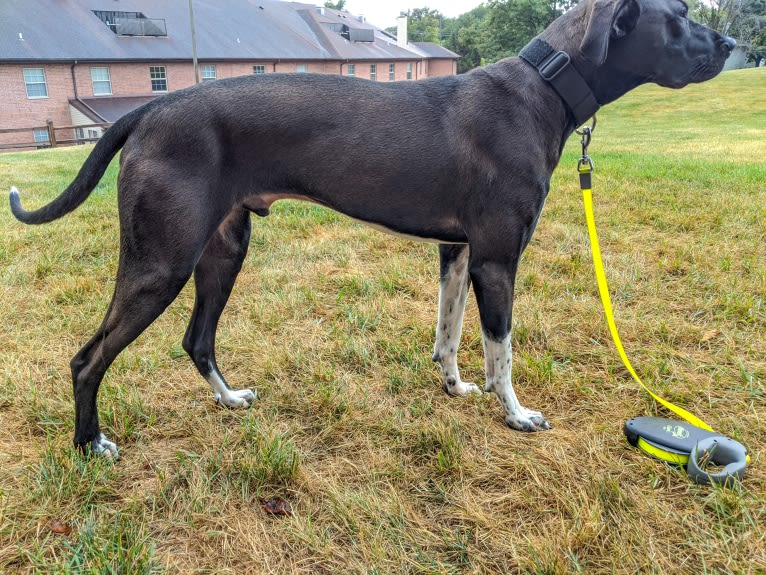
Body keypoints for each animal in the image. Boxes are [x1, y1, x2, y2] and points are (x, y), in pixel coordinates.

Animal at [9, 0, 736, 460]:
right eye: (679, 17)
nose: (732, 43)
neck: (544, 88)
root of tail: (152, 108)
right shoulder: (498, 260)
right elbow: (501, 350)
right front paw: (515, 413)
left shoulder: (457, 251)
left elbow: (449, 334)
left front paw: (453, 386)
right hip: (160, 264)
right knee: (87, 358)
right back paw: (90, 444)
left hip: (223, 249)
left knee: (197, 339)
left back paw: (229, 398)